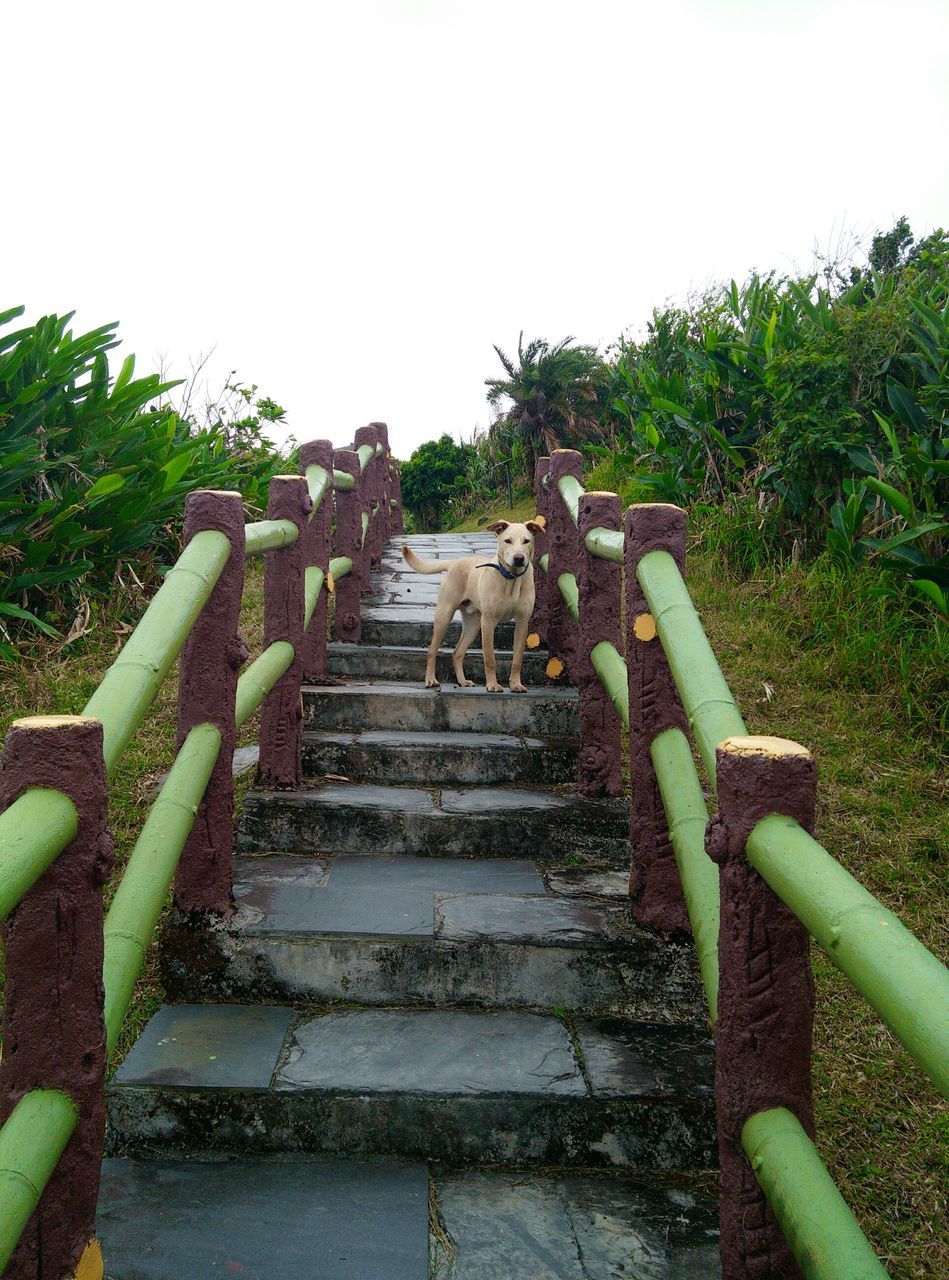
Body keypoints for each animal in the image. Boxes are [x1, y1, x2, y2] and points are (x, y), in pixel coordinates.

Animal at [402, 522, 540, 696]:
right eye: (508, 540)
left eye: (526, 541)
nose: (519, 558)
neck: (511, 579)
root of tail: (453, 562)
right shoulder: (488, 622)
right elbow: (490, 658)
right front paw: (492, 685)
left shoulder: (522, 622)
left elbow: (517, 659)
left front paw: (515, 684)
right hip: (444, 615)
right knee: (432, 649)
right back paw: (431, 680)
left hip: (473, 625)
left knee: (457, 652)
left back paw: (462, 681)